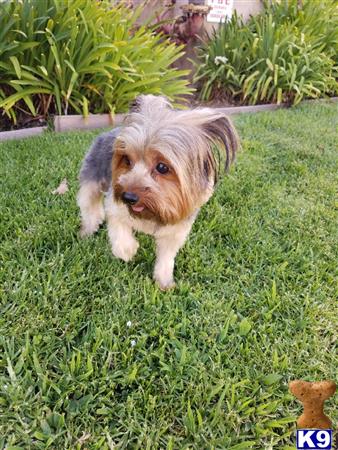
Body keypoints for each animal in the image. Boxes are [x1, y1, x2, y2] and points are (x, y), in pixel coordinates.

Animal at [78, 96, 239, 290]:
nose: (128, 197)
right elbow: (118, 226)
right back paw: (87, 231)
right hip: (92, 177)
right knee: (89, 206)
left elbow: (166, 257)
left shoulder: (175, 230)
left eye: (162, 167)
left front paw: (164, 282)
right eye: (127, 160)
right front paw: (127, 250)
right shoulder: (115, 204)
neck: (152, 212)